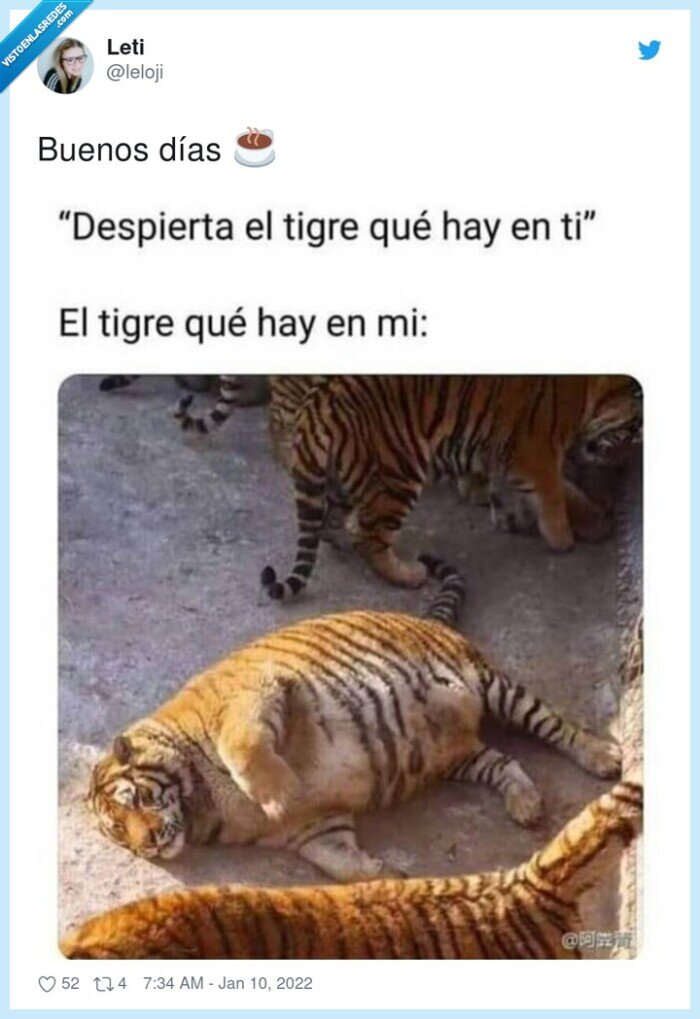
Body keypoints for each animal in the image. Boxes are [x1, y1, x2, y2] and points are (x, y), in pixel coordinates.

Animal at [88, 555, 619, 884]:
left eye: (137, 799)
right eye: (120, 831)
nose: (149, 844)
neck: (201, 807)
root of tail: (427, 619)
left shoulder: (253, 697)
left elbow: (245, 750)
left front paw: (281, 794)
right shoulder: (313, 829)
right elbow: (340, 864)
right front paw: (387, 876)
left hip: (494, 686)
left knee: (556, 726)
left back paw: (605, 756)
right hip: (459, 757)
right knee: (504, 762)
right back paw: (526, 805)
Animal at [262, 375, 642, 599]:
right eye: (634, 430)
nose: (621, 462)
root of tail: (315, 406)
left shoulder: (503, 456)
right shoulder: (534, 452)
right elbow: (556, 495)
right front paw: (567, 537)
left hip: (344, 475)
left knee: (332, 522)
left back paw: (340, 541)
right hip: (399, 470)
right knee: (368, 535)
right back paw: (408, 574)